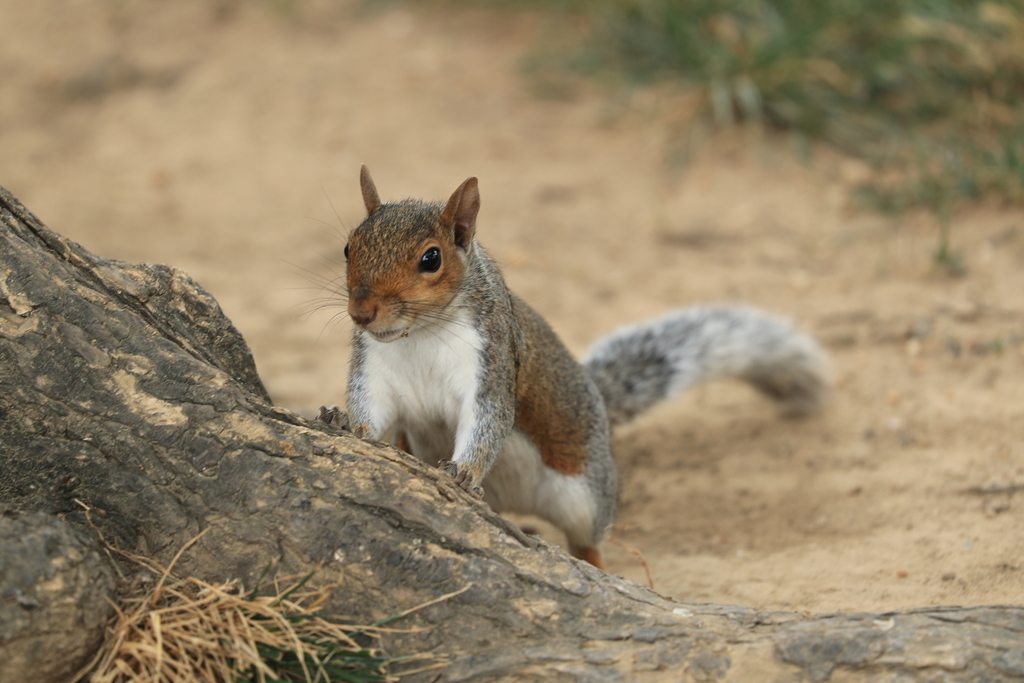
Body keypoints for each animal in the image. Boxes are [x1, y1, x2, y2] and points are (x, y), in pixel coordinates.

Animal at [321, 166, 831, 573]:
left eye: (431, 258)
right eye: (348, 247)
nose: (362, 313)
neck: (419, 335)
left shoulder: (492, 363)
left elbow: (489, 421)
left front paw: (464, 472)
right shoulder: (375, 371)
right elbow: (373, 414)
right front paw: (343, 421)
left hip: (585, 495)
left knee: (587, 539)